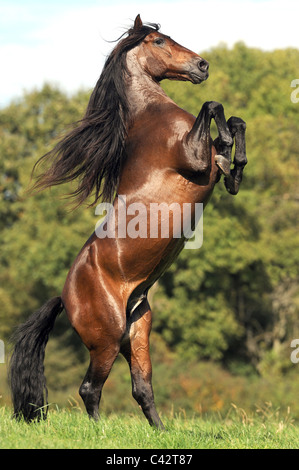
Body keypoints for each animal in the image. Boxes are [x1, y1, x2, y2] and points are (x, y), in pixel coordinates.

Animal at [9, 14, 248, 428]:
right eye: (158, 41)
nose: (202, 65)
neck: (153, 117)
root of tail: (65, 296)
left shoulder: (221, 179)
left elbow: (235, 128)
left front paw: (232, 147)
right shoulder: (193, 157)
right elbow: (214, 106)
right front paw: (225, 141)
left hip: (137, 332)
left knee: (141, 388)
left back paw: (161, 432)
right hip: (106, 339)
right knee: (90, 389)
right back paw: (99, 431)